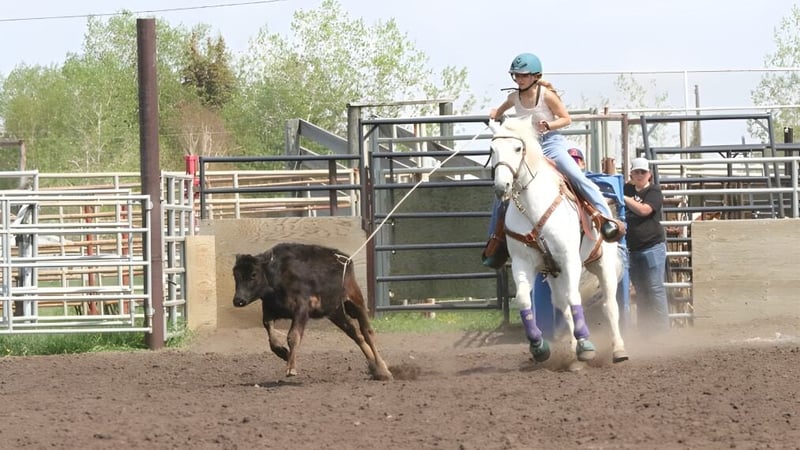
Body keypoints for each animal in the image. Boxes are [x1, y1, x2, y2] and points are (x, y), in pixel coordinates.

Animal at [488, 117, 629, 365]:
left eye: (517, 148)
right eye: (492, 149)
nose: (501, 187)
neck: (534, 208)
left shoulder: (569, 259)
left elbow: (575, 297)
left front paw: (587, 346)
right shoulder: (522, 263)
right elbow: (524, 300)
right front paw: (539, 347)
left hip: (602, 264)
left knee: (609, 305)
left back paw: (618, 350)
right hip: (555, 274)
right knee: (563, 306)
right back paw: (573, 350)